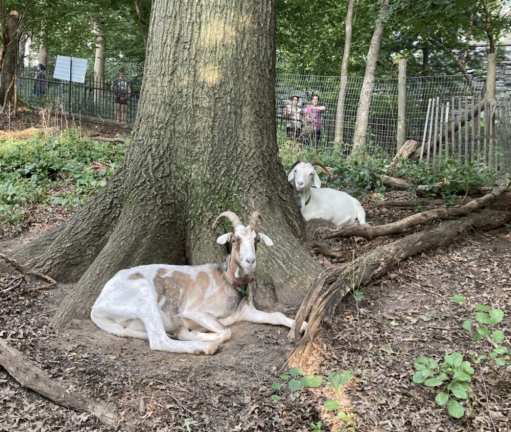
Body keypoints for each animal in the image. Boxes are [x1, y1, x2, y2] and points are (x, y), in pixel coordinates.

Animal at [91, 211, 304, 356]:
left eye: (256, 240)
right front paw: (200, 335)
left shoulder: (245, 312)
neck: (226, 280)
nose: (250, 261)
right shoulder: (195, 311)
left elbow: (276, 315)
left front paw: (303, 325)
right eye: (235, 240)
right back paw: (203, 346)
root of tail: (97, 305)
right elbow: (226, 331)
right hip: (144, 296)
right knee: (159, 340)